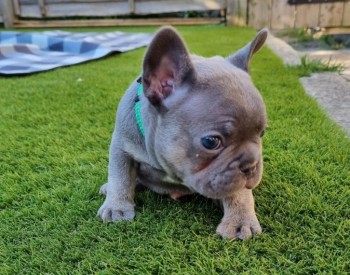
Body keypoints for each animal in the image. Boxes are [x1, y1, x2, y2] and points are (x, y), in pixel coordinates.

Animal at [98, 26, 268, 242]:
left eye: (262, 133)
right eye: (211, 142)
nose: (251, 165)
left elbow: (238, 192)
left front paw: (240, 220)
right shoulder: (121, 147)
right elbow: (120, 177)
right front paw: (116, 207)